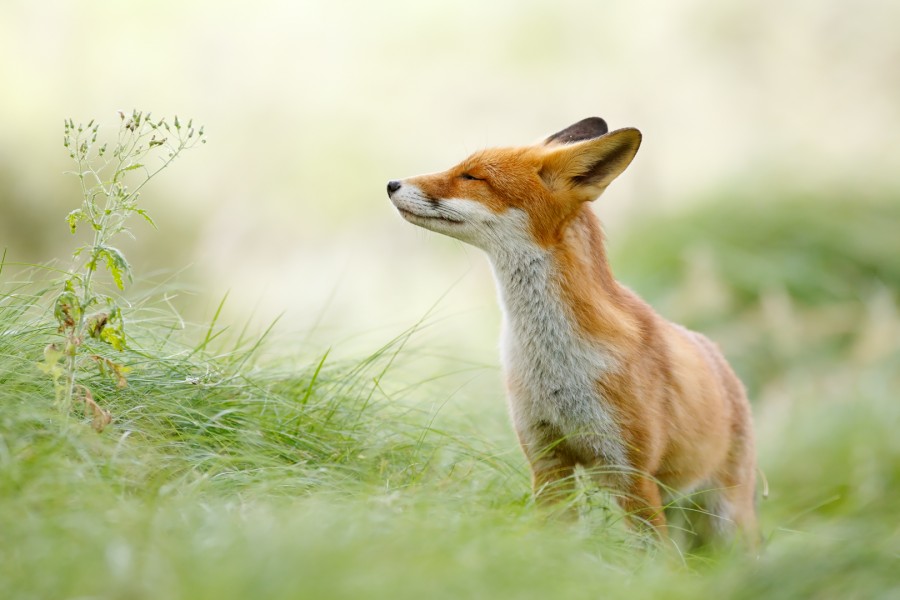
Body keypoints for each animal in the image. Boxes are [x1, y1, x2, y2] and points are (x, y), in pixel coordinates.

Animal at [384, 118, 756, 548]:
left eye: (472, 176)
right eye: (461, 168)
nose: (391, 183)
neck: (555, 363)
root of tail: (722, 360)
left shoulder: (631, 474)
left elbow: (654, 556)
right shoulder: (546, 459)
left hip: (726, 518)